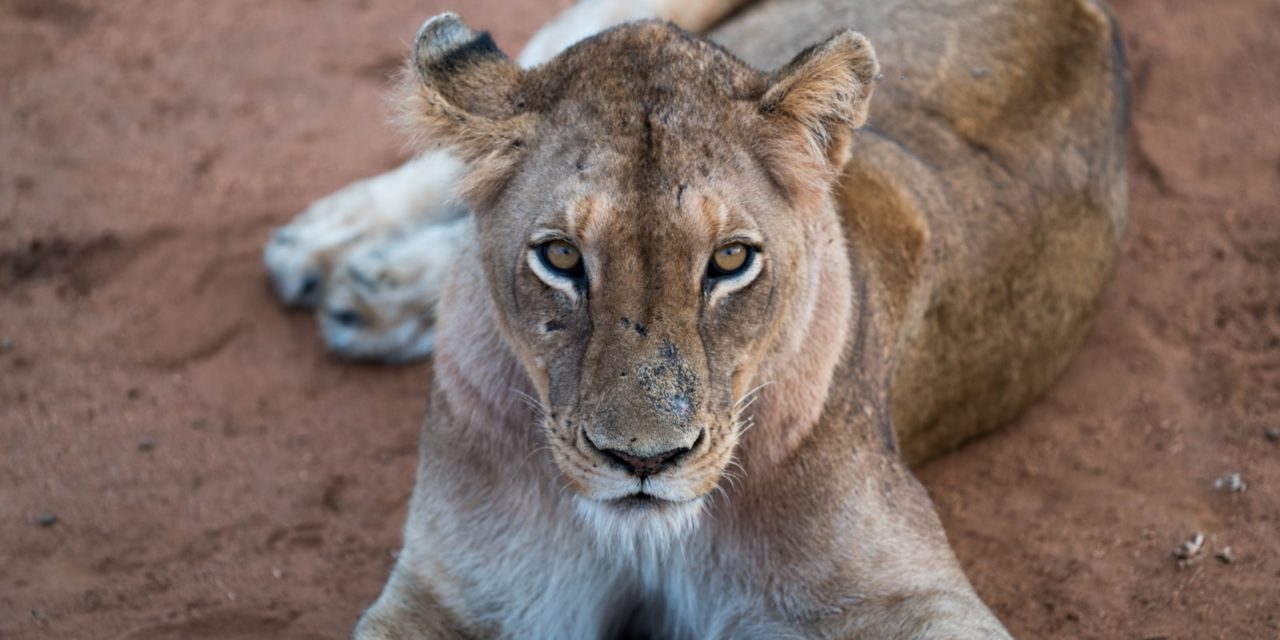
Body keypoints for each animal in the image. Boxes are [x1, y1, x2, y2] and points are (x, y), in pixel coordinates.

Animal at [264, 0, 1126, 634]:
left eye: (731, 260)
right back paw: (328, 251)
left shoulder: (909, 594)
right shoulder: (465, 593)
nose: (642, 461)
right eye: (562, 258)